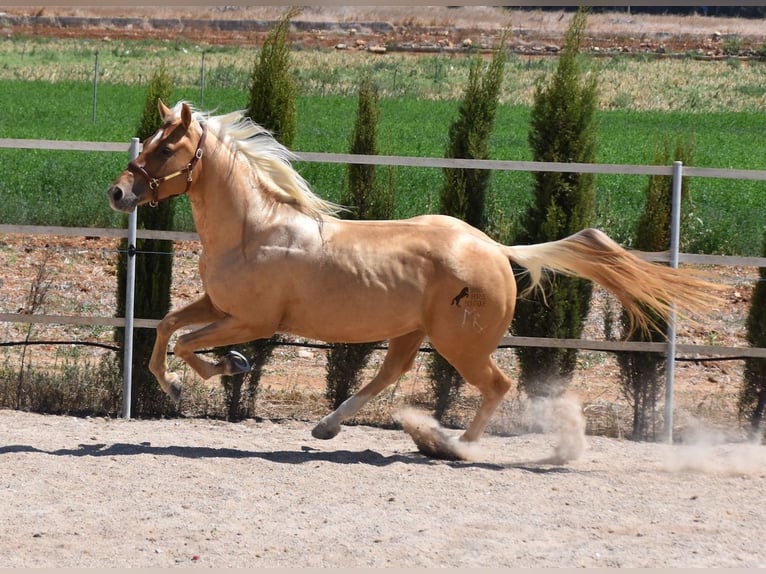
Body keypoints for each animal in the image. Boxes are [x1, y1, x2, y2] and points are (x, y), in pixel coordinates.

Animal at [106, 99, 720, 460]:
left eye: (167, 147)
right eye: (151, 140)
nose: (118, 192)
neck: (254, 228)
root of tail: (495, 249)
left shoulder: (252, 318)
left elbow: (187, 342)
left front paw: (224, 368)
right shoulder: (218, 303)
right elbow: (166, 328)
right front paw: (180, 384)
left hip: (459, 342)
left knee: (495, 385)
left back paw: (456, 446)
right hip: (412, 332)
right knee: (388, 374)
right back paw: (328, 429)